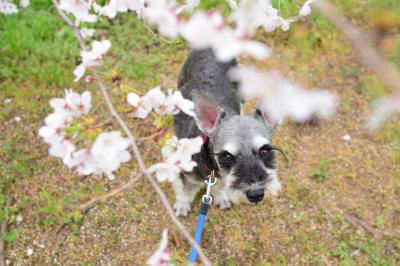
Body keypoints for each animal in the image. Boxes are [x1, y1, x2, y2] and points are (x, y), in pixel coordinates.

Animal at [173, 48, 282, 216]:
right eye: (228, 156)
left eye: (264, 151)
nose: (256, 194)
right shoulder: (188, 176)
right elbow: (185, 192)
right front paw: (182, 206)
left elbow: (220, 188)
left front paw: (222, 197)